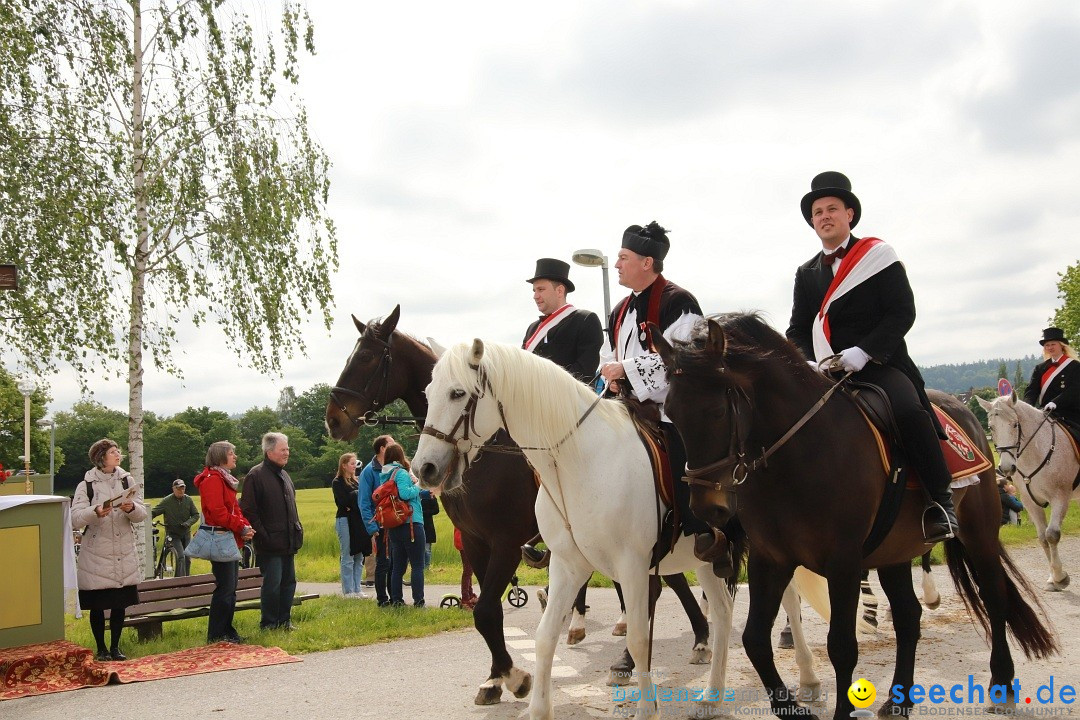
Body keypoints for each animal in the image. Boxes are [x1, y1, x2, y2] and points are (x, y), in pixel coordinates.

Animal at [324, 306, 712, 703]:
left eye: (366, 357)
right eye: (429, 392)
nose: (333, 419)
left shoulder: (507, 542)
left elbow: (484, 610)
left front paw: (513, 676)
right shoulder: (476, 542)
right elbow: (489, 610)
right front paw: (498, 676)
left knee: (661, 586)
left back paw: (675, 645)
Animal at [412, 343, 816, 720]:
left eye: (458, 393)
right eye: (428, 392)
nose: (424, 469)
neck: (580, 460)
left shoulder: (632, 566)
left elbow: (638, 638)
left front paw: (647, 707)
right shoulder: (567, 564)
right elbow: (544, 636)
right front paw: (537, 704)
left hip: (769, 549)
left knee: (790, 601)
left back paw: (808, 677)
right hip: (706, 558)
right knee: (724, 611)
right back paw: (711, 697)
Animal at [648, 313, 1054, 720]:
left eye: (717, 411)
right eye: (671, 412)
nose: (707, 509)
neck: (796, 455)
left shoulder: (843, 561)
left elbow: (841, 645)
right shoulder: (771, 558)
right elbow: (755, 640)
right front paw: (790, 706)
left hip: (978, 531)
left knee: (994, 598)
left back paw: (1001, 685)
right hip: (895, 550)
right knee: (908, 616)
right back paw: (898, 700)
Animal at [980, 395, 1080, 591]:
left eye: (1014, 424)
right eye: (991, 427)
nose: (1006, 468)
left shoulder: (1060, 497)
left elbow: (1052, 535)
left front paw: (1060, 577)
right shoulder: (1030, 501)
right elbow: (1042, 538)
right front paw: (1053, 578)